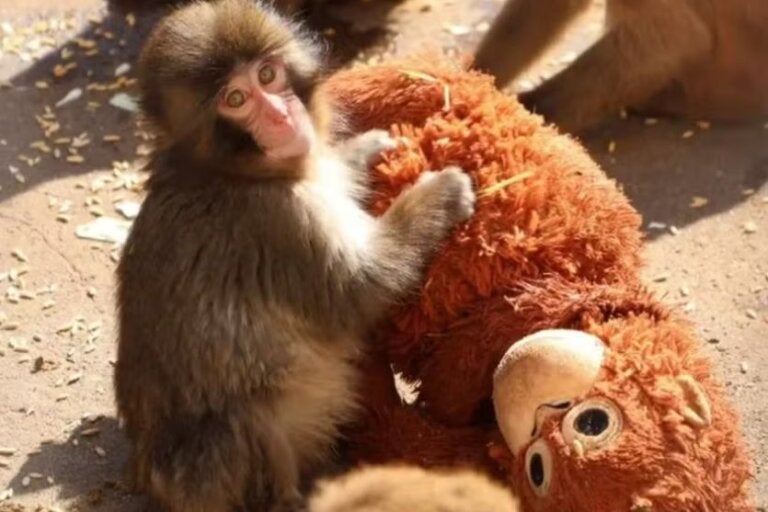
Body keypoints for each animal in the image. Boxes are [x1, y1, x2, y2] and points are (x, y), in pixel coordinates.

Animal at [114, 1, 475, 511]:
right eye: (236, 99)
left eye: (268, 75)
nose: (281, 116)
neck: (229, 171)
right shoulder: (280, 221)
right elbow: (359, 289)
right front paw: (439, 195)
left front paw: (364, 150)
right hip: (204, 475)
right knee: (240, 423)